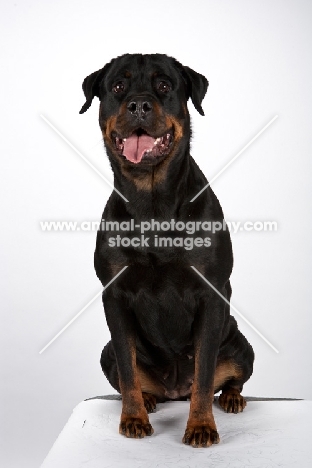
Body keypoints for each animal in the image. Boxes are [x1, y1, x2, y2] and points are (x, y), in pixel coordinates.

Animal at [80, 53, 254, 448]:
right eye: (118, 85)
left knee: (230, 377)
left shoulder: (211, 291)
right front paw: (133, 418)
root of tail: (175, 391)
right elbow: (128, 369)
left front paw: (201, 426)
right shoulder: (114, 295)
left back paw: (232, 398)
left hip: (242, 346)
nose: (139, 104)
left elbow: (204, 374)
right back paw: (148, 399)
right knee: (126, 372)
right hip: (105, 353)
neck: (152, 199)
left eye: (163, 86)